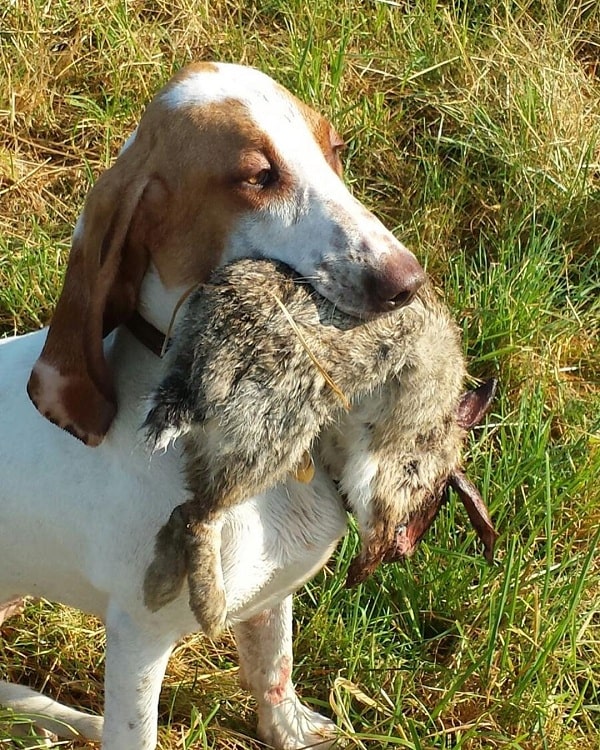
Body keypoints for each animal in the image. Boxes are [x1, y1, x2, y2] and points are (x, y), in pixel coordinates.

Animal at [1, 63, 432, 750]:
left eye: (334, 150)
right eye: (257, 177)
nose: (406, 283)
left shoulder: (268, 598)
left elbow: (274, 671)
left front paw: (292, 731)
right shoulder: (138, 641)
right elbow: (136, 731)